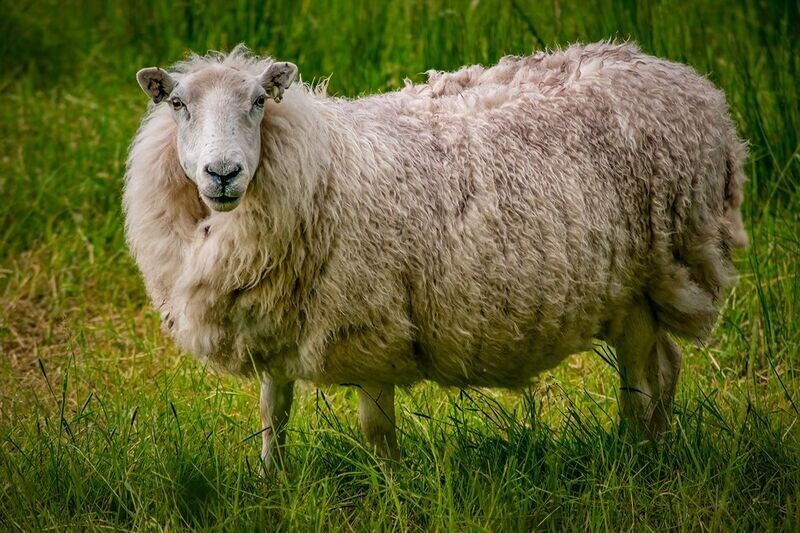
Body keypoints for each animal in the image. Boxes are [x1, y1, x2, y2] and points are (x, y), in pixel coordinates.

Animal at [123, 44, 744, 470]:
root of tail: (689, 82)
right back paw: (656, 450)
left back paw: (632, 460)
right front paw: (269, 484)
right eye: (177, 104)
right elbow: (272, 416)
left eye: (257, 102)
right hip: (638, 291)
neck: (319, 163)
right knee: (666, 366)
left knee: (640, 383)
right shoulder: (273, 323)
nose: (222, 173)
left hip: (650, 274)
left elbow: (377, 432)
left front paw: (392, 493)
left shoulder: (369, 330)